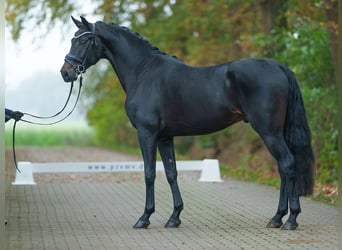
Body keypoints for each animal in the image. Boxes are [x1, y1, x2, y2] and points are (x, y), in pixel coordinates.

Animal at [60, 16, 314, 229]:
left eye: (84, 41)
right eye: (73, 39)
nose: (66, 72)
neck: (143, 71)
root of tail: (278, 66)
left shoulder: (147, 133)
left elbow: (149, 173)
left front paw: (144, 218)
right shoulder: (165, 136)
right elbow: (171, 173)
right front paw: (174, 217)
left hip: (269, 131)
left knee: (288, 163)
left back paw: (290, 219)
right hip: (276, 132)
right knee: (283, 167)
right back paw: (277, 218)